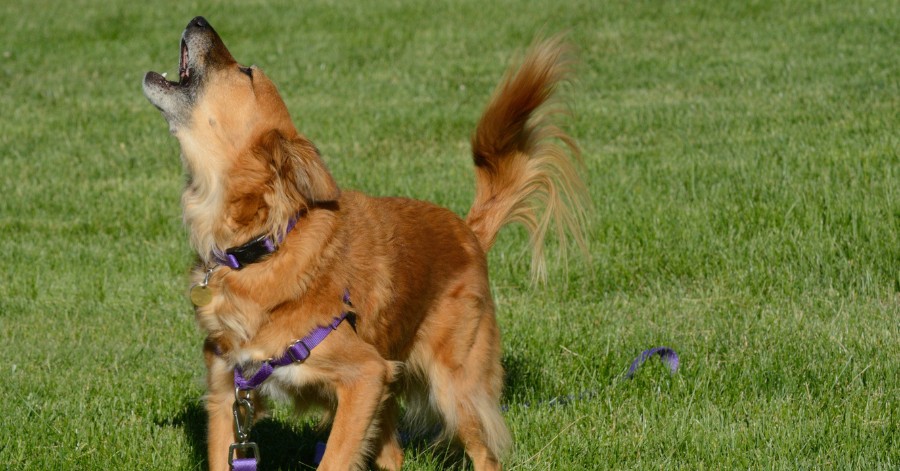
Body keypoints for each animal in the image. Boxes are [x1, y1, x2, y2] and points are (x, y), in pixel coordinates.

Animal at [143, 15, 588, 471]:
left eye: (246, 72)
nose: (198, 19)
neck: (261, 248)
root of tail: (467, 232)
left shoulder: (365, 375)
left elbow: (334, 459)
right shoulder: (227, 394)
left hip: (455, 386)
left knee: (485, 454)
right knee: (395, 455)